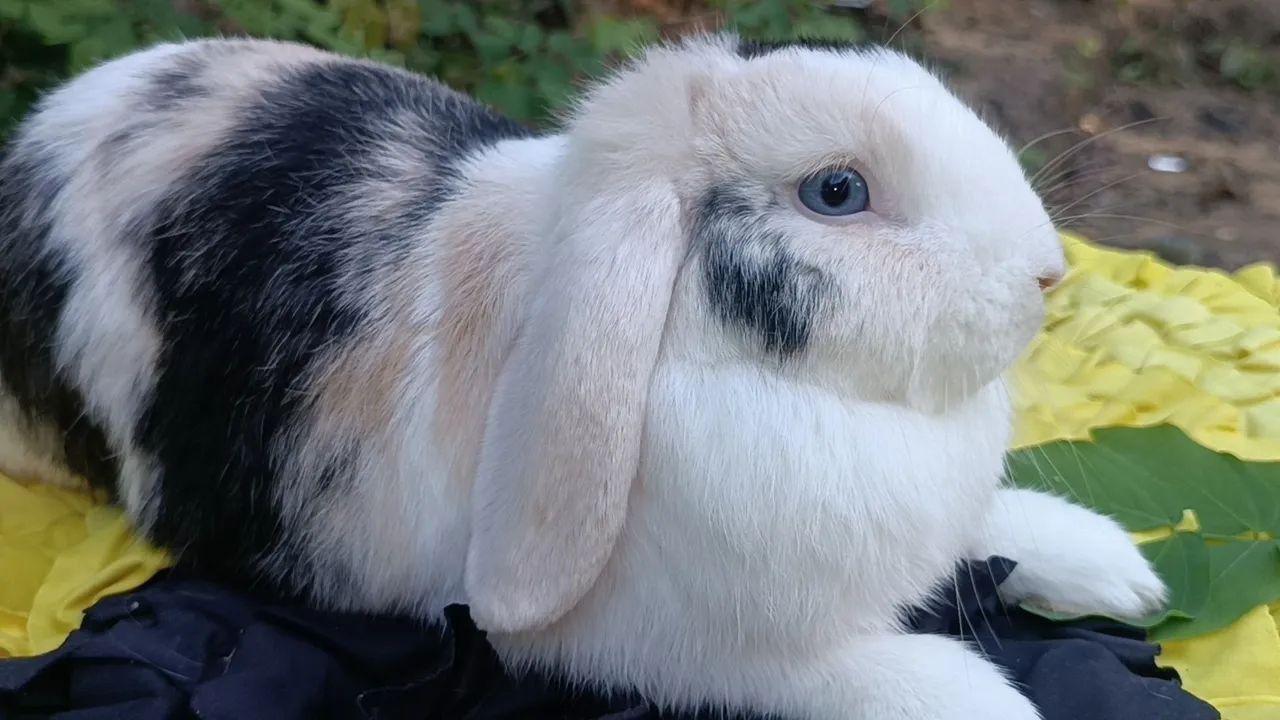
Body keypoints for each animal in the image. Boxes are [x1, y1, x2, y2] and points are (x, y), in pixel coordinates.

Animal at [0, 32, 1167, 720]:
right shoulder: (698, 655)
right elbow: (857, 676)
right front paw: (990, 702)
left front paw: (1113, 574)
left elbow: (991, 530)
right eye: (837, 192)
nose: (1047, 273)